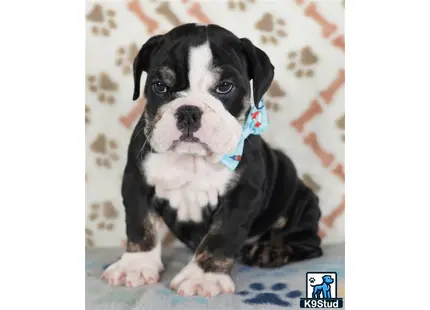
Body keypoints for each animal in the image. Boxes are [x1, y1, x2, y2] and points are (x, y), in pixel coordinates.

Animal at [101, 23, 322, 296]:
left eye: (225, 87)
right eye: (160, 86)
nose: (189, 112)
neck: (192, 160)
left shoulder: (241, 195)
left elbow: (221, 235)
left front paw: (203, 276)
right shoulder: (137, 182)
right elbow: (141, 225)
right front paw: (135, 265)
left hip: (301, 201)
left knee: (308, 241)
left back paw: (270, 251)